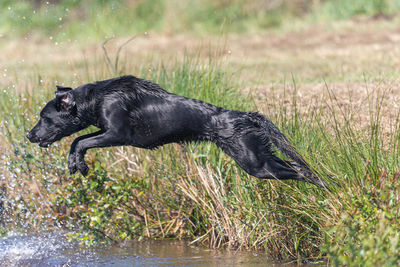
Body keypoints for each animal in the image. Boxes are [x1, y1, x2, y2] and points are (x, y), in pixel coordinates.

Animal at [27, 75, 328, 188]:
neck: (98, 98)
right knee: (298, 166)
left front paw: (78, 164)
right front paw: (75, 164)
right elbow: (78, 139)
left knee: (301, 171)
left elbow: (79, 140)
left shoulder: (118, 134)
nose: (29, 135)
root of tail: (243, 115)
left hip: (257, 164)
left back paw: (327, 189)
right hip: (258, 156)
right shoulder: (108, 133)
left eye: (44, 117)